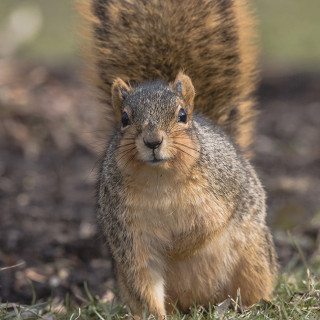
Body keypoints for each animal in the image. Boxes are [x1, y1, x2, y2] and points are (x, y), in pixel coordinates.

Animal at [78, 0, 278, 316]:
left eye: (182, 115)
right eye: (124, 119)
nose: (153, 141)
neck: (161, 179)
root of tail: (200, 302)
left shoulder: (221, 192)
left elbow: (211, 225)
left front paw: (178, 250)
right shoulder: (128, 233)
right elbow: (144, 279)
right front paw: (155, 315)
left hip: (254, 258)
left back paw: (253, 305)